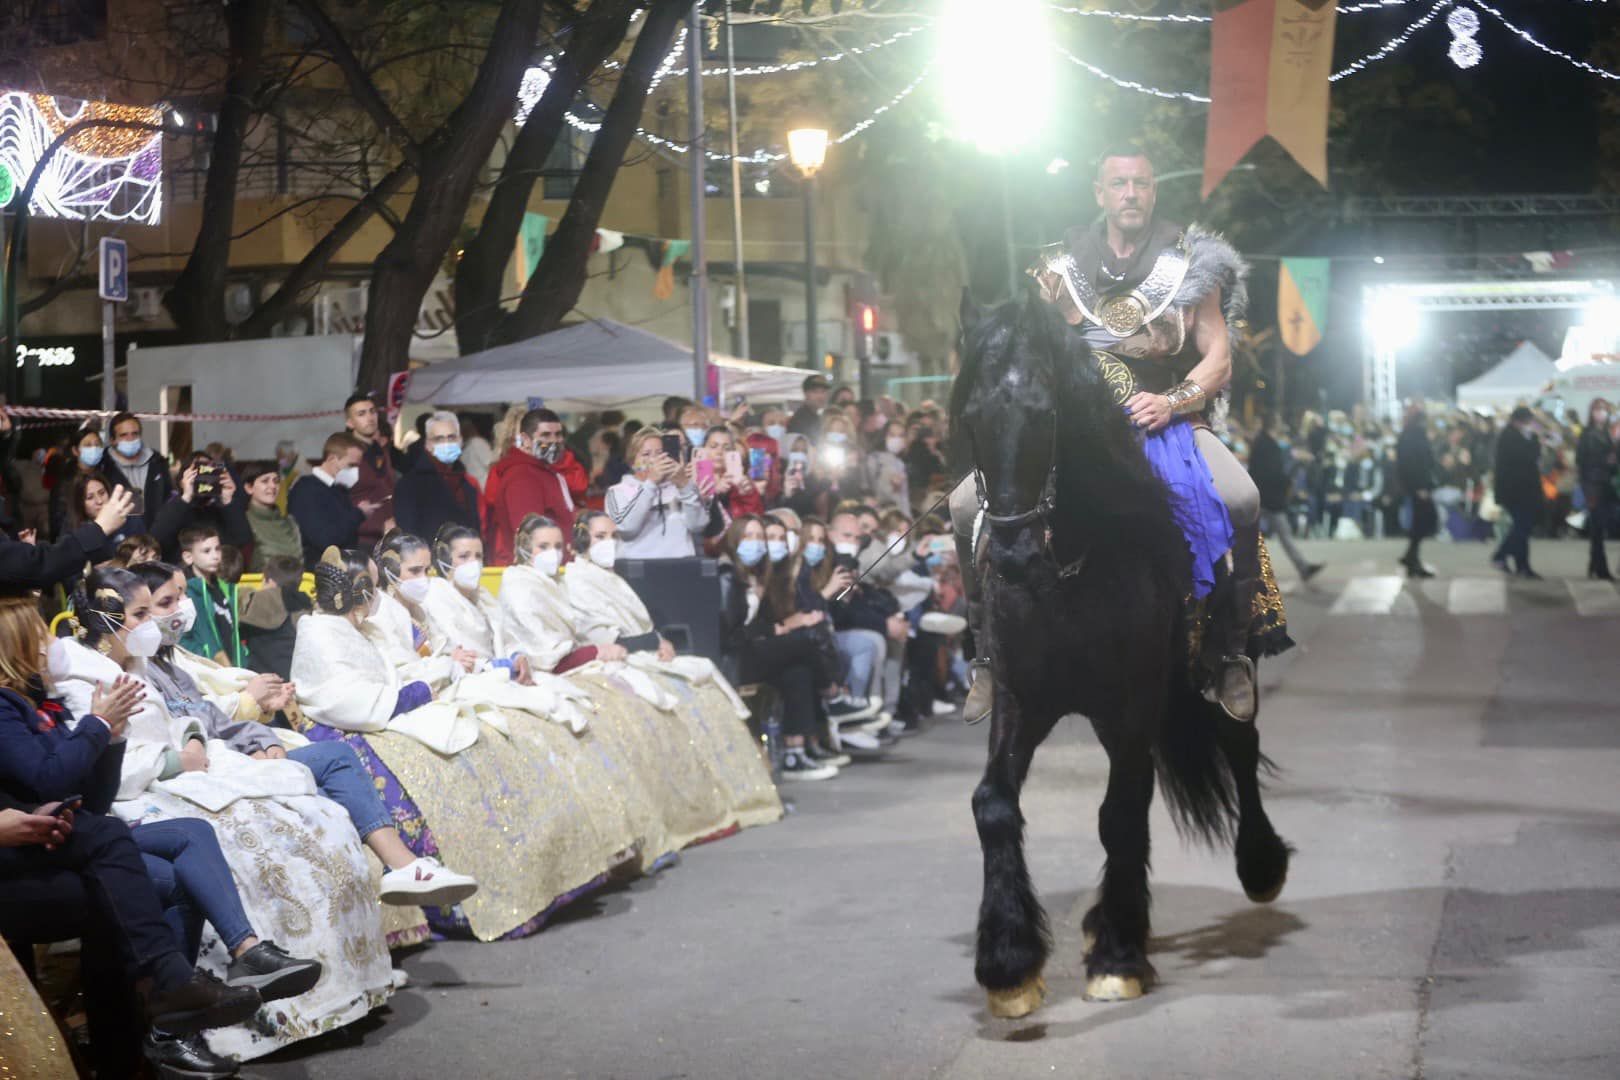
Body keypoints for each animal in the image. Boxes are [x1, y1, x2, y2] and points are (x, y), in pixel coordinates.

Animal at [946, 291, 1289, 1016]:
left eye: (1046, 414)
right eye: (973, 417)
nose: (1011, 553)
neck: (1068, 571)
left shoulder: (1134, 701)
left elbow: (1120, 813)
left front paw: (1118, 958)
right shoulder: (1022, 700)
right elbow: (993, 803)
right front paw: (1009, 963)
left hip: (1203, 673)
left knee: (1238, 740)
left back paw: (1260, 865)